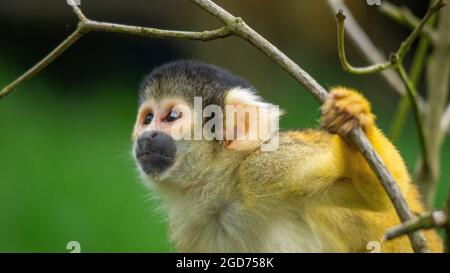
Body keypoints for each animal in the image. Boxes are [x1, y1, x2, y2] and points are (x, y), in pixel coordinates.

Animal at [132, 59, 442, 251]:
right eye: (147, 118)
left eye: (171, 117)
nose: (147, 136)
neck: (223, 192)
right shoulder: (187, 230)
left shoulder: (268, 169)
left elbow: (379, 194)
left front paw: (352, 116)